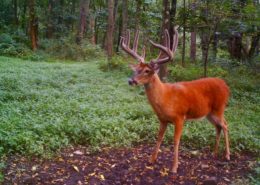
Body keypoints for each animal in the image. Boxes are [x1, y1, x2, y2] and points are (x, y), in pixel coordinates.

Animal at [121, 26, 231, 173]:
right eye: (137, 69)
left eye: (147, 71)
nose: (131, 80)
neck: (165, 98)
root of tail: (226, 86)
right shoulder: (162, 119)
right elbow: (159, 138)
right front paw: (151, 160)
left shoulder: (180, 117)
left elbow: (176, 141)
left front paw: (174, 167)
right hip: (209, 113)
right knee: (218, 127)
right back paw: (214, 153)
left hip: (219, 108)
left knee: (225, 125)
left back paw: (227, 155)